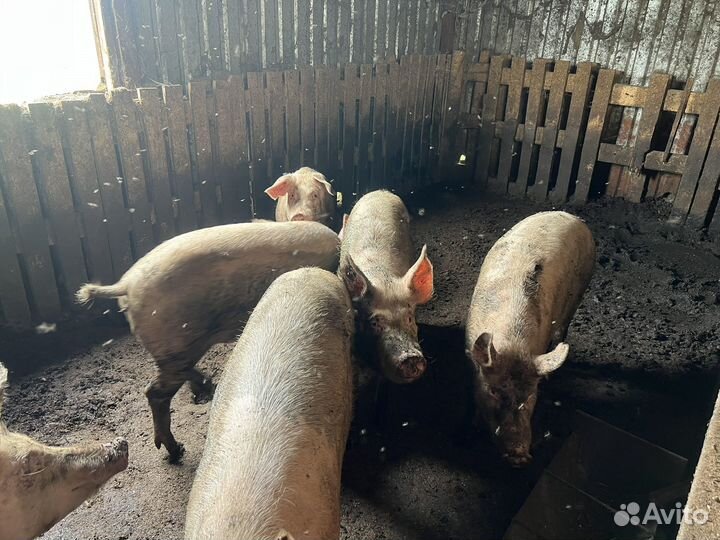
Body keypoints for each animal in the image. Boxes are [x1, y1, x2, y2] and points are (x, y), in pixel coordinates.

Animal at [76, 220, 340, 462]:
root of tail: (126, 285)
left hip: (178, 351)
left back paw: (205, 389)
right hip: (176, 344)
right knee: (155, 392)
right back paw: (177, 450)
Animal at [465, 211, 595, 467]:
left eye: (531, 395)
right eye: (494, 391)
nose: (519, 455)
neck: (513, 345)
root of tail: (572, 216)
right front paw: (474, 424)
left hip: (581, 288)